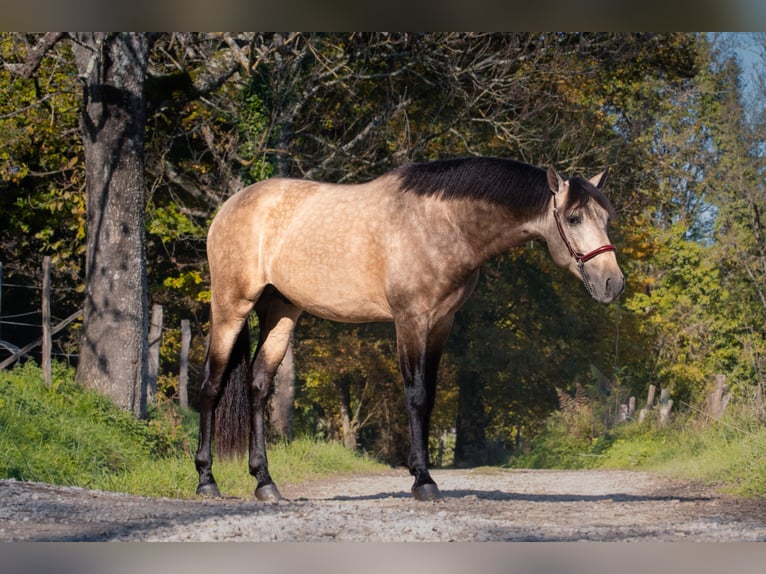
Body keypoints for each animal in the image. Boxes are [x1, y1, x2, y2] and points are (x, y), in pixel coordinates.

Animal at [195, 159, 628, 504]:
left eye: (605, 219)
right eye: (573, 219)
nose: (613, 283)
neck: (441, 224)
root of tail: (231, 206)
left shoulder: (441, 324)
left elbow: (430, 398)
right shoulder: (411, 320)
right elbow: (416, 396)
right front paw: (423, 480)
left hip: (281, 311)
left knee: (257, 385)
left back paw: (265, 483)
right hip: (231, 307)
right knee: (211, 386)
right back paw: (207, 481)